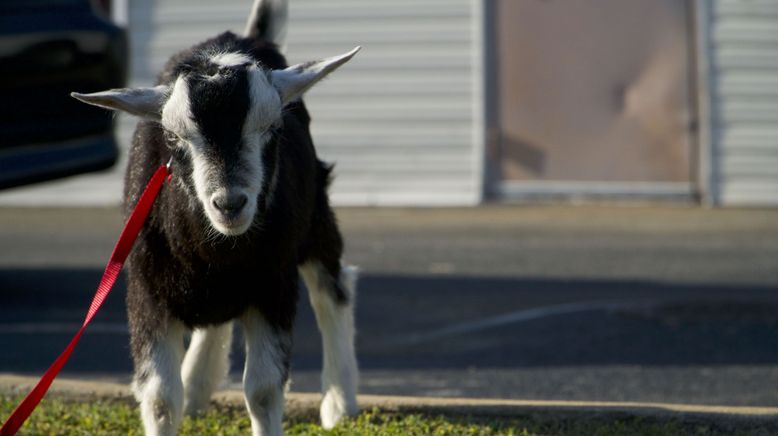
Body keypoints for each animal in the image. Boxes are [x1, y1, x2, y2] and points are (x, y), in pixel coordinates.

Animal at [71, 1, 360, 434]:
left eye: (273, 127)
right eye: (172, 138)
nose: (230, 204)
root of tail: (246, 38)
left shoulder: (273, 285)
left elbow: (263, 390)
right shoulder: (146, 288)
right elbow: (160, 397)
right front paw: (180, 395)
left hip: (315, 214)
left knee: (332, 289)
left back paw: (340, 404)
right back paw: (196, 387)